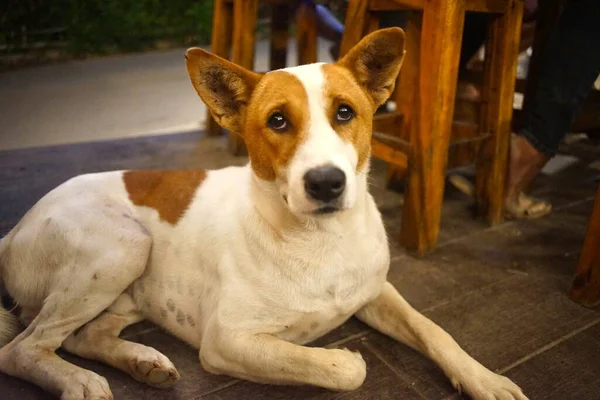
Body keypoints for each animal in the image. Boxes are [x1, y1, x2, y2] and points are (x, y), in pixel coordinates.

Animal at [0, 28, 524, 400]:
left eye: (345, 112)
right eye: (277, 121)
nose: (326, 183)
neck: (321, 238)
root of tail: (15, 228)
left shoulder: (378, 292)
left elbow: (434, 330)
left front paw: (484, 378)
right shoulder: (227, 341)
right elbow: (341, 368)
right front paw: (344, 359)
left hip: (127, 285)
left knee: (81, 337)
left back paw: (141, 362)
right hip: (123, 247)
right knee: (22, 348)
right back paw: (78, 382)